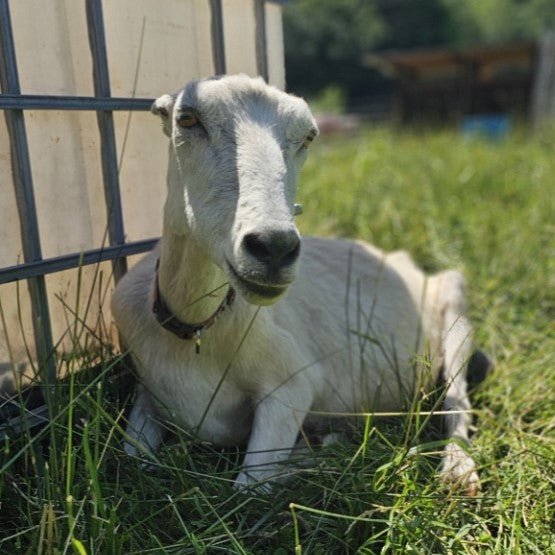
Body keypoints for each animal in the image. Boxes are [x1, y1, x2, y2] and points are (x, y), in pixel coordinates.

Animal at [112, 74, 486, 496]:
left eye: (308, 136)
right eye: (187, 119)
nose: (274, 247)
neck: (195, 332)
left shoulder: (292, 382)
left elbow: (250, 485)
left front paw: (326, 450)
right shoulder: (147, 392)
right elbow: (131, 459)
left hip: (455, 309)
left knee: (457, 399)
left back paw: (457, 469)